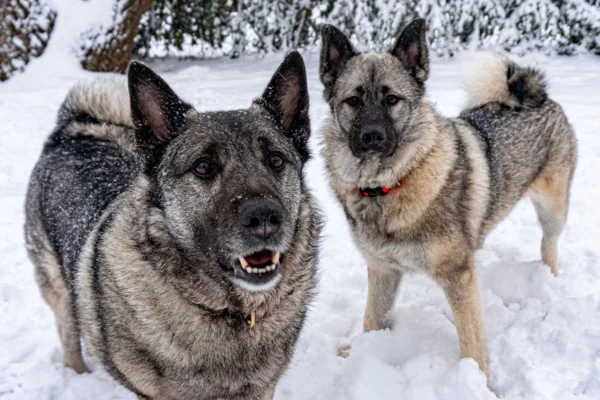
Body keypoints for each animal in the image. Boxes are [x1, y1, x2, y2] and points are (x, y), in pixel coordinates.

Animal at [24, 51, 318, 398]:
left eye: (275, 160)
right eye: (203, 167)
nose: (265, 218)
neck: (229, 312)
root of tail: (70, 133)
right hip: (61, 294)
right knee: (69, 338)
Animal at [318, 19, 576, 384]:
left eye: (392, 99)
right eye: (353, 100)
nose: (372, 136)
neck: (387, 185)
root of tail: (542, 97)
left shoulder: (458, 276)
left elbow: (472, 343)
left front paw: (477, 384)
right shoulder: (383, 270)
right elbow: (371, 321)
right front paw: (359, 354)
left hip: (554, 210)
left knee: (548, 245)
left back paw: (548, 279)